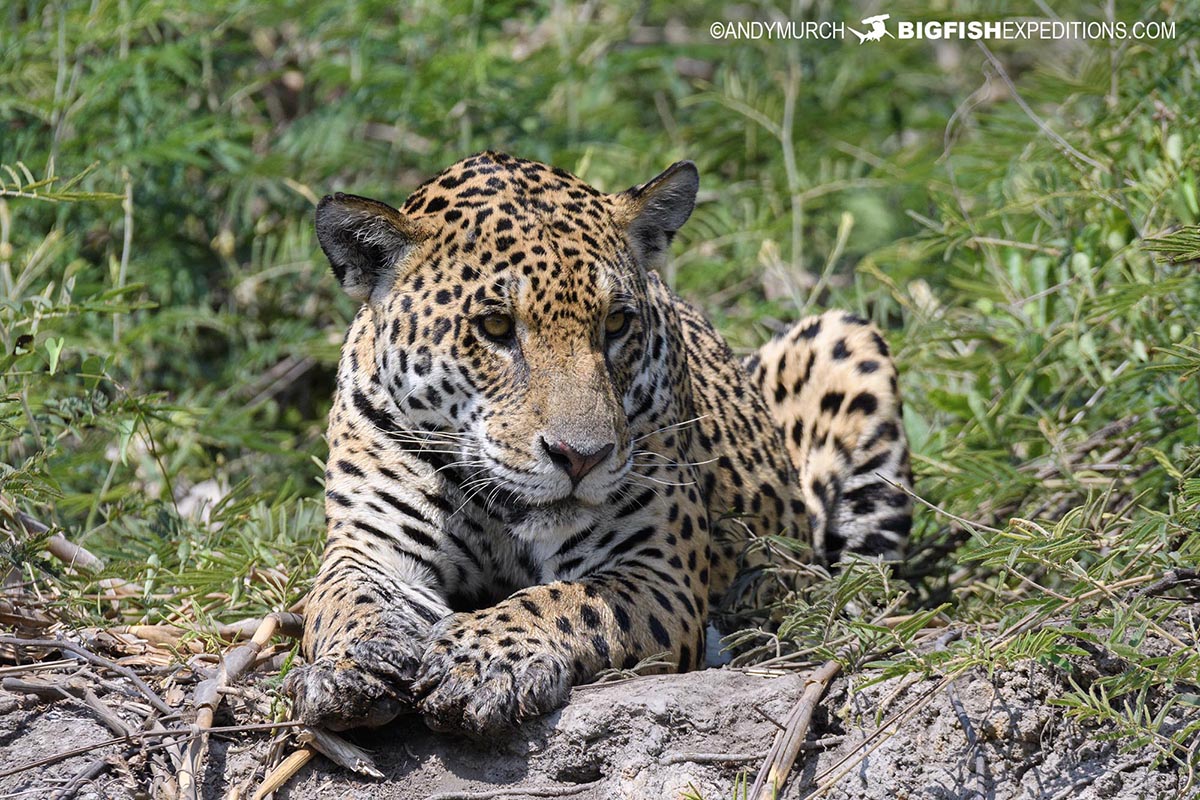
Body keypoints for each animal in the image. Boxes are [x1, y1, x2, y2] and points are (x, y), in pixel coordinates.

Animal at [284, 151, 912, 736]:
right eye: (494, 327)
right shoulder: (369, 544)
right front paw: (349, 666)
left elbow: (563, 601)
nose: (581, 457)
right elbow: (344, 599)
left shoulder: (659, 571)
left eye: (615, 324)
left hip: (843, 341)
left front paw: (479, 660)